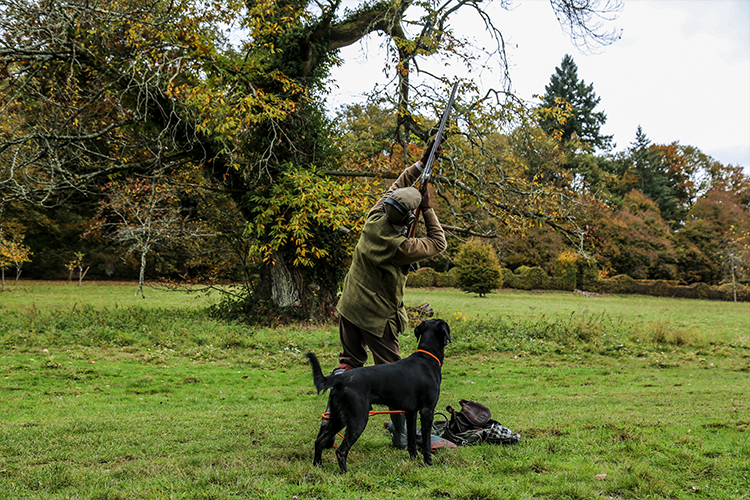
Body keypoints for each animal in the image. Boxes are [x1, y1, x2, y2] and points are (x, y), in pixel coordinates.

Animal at [306, 318, 452, 474]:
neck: (426, 359)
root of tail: (341, 378)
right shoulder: (427, 410)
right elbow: (426, 441)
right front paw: (428, 462)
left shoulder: (411, 412)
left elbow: (412, 439)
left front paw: (414, 458)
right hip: (358, 419)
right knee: (341, 450)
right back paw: (344, 472)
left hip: (338, 418)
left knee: (319, 441)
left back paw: (318, 466)